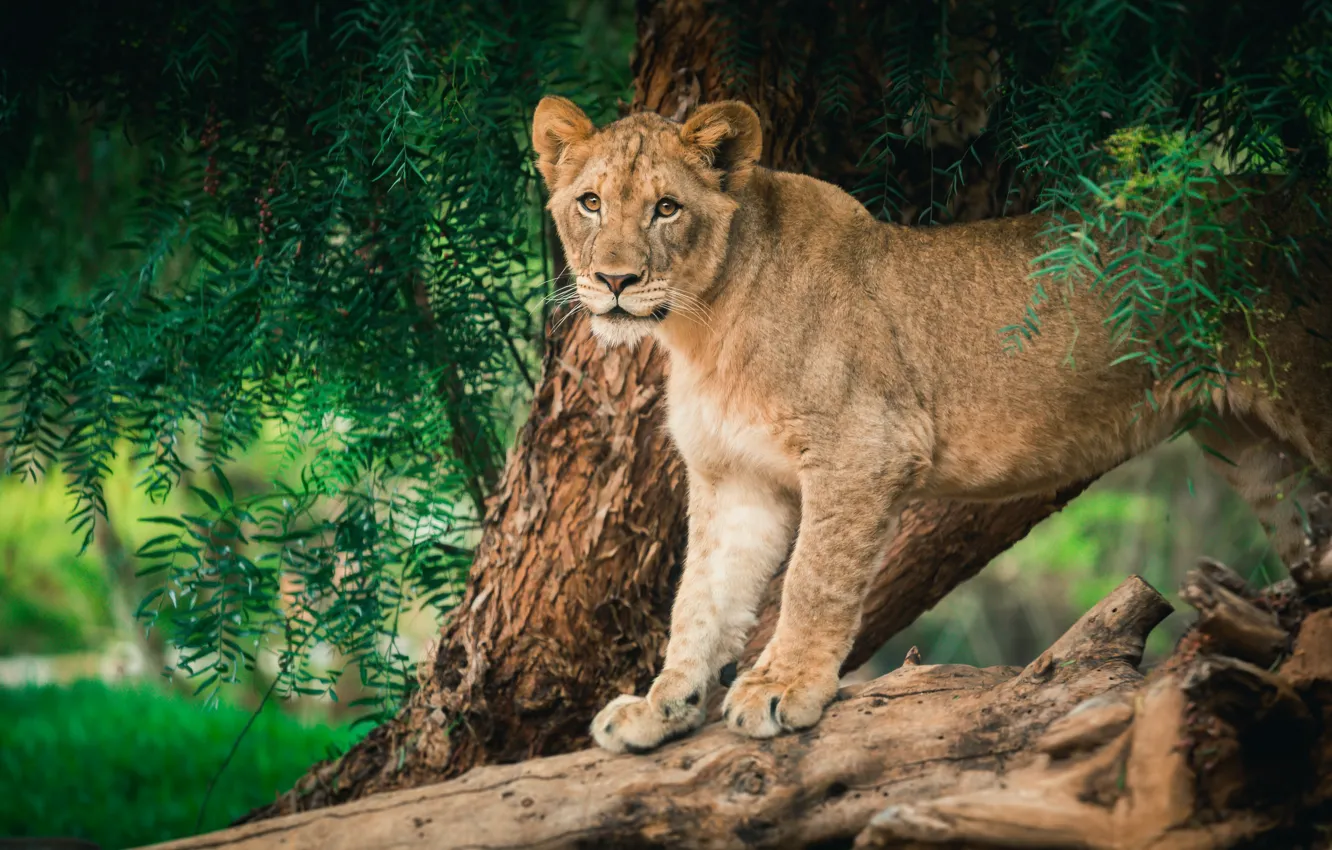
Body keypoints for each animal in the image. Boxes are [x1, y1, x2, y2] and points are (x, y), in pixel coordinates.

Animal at [531, 95, 1332, 754]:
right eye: (590, 202)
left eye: (667, 208)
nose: (614, 281)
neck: (702, 328)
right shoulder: (736, 480)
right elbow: (700, 600)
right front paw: (662, 708)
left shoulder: (862, 447)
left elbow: (813, 580)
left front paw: (782, 687)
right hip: (1255, 450)